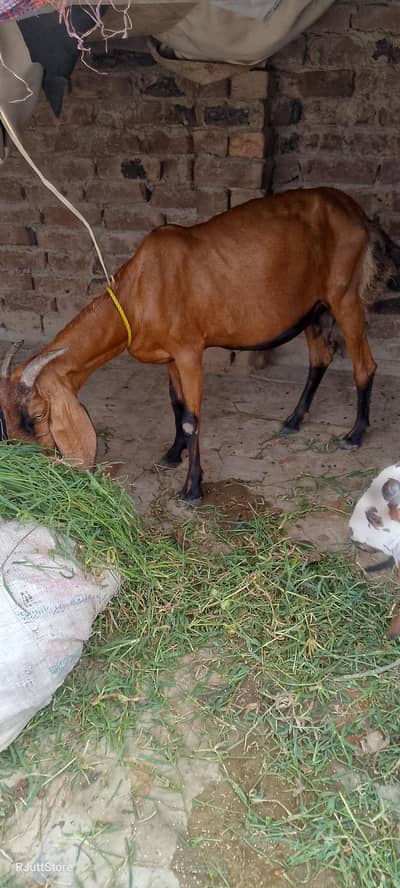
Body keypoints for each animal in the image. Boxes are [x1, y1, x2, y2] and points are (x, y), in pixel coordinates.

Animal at [1, 186, 399, 502]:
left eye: (38, 414)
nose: (31, 466)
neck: (140, 290)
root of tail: (359, 214)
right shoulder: (169, 356)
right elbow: (176, 405)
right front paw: (172, 454)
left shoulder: (190, 351)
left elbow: (192, 418)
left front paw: (192, 489)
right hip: (313, 308)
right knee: (321, 356)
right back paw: (293, 420)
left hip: (345, 297)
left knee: (364, 363)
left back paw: (355, 434)